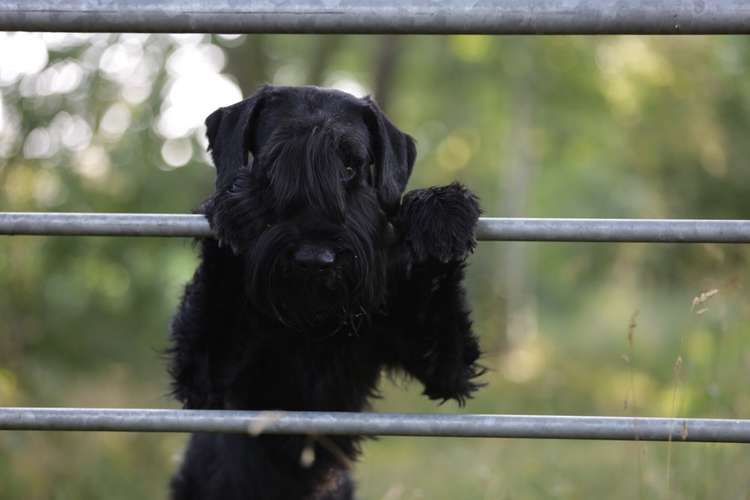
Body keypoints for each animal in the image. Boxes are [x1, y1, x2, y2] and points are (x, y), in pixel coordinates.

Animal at [167, 86, 484, 500]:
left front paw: (442, 212)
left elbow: (447, 351)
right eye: (273, 164)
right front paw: (239, 211)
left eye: (350, 167)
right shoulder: (204, 373)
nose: (315, 258)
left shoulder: (441, 360)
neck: (314, 321)